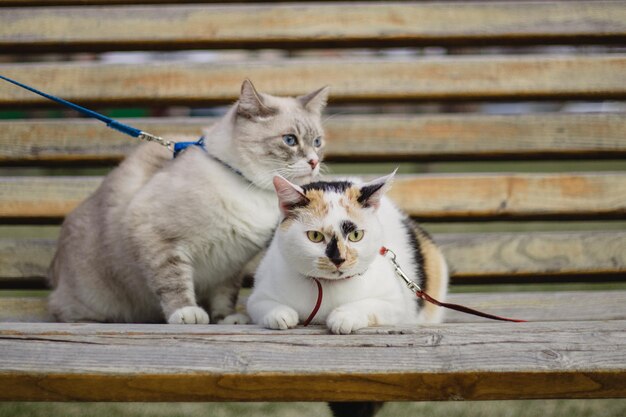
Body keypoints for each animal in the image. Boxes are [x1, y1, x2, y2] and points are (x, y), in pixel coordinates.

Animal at [47, 79, 332, 324]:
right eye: (290, 140)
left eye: (318, 142)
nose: (314, 162)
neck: (252, 188)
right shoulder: (158, 237)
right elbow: (173, 281)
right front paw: (186, 313)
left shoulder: (230, 263)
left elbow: (224, 295)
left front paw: (226, 319)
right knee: (62, 311)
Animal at [246, 171, 446, 332]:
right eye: (315, 236)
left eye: (356, 235)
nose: (338, 259)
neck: (328, 287)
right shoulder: (258, 296)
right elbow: (263, 305)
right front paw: (280, 314)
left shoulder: (395, 303)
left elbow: (369, 305)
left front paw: (345, 316)